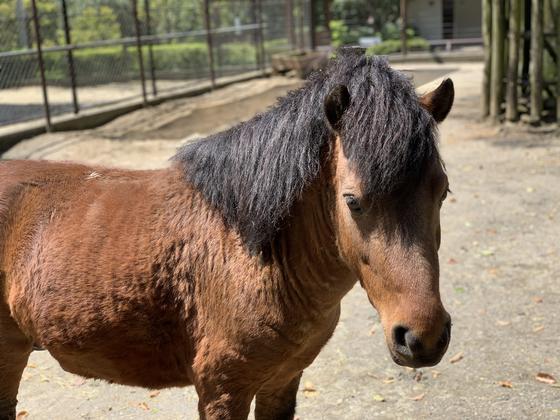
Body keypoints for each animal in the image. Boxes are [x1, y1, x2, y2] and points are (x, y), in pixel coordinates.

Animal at [0, 54, 452, 418]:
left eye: (443, 191)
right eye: (352, 201)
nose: (423, 337)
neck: (252, 254)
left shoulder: (282, 380)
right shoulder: (222, 391)